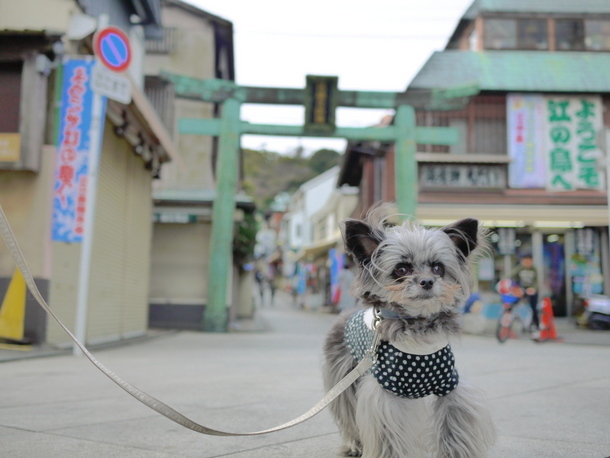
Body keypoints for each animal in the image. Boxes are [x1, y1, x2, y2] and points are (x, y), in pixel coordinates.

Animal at [324, 207, 494, 458]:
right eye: (401, 269)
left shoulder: (450, 387)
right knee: (349, 417)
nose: (427, 281)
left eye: (438, 268)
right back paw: (354, 445)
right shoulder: (386, 395)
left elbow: (454, 431)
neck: (418, 327)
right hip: (345, 379)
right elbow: (389, 437)